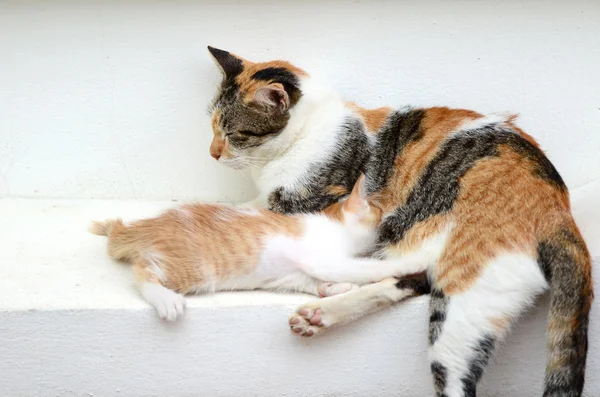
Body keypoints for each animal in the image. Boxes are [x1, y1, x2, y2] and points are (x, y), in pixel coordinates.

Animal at [91, 176, 386, 322]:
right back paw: (165, 299)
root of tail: (148, 225)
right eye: (378, 212)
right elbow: (361, 267)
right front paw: (397, 266)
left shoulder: (287, 274)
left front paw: (334, 288)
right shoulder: (324, 258)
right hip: (196, 268)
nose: (387, 221)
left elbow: (308, 280)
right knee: (143, 269)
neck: (334, 225)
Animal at [205, 47, 592, 396]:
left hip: (463, 294)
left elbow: (259, 209)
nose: (212, 153)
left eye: (234, 133)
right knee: (408, 276)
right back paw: (321, 312)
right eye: (211, 125)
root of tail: (560, 214)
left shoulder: (311, 199)